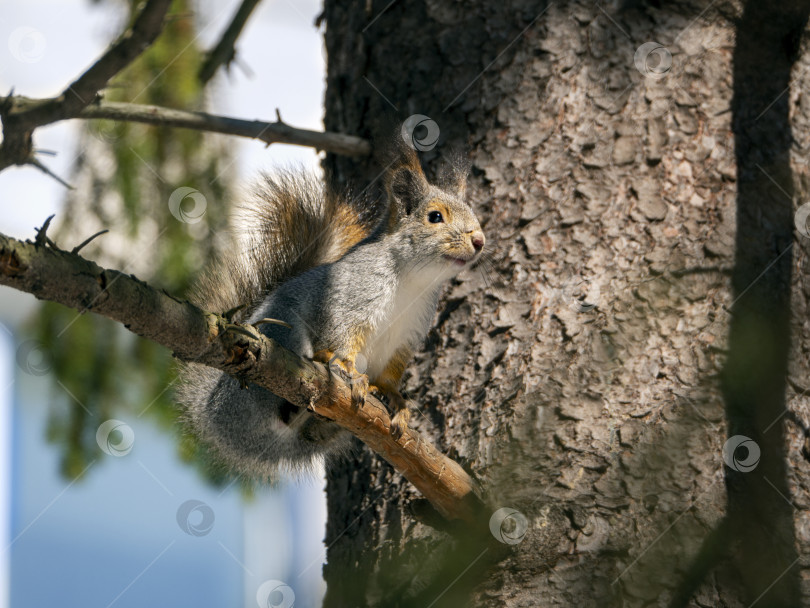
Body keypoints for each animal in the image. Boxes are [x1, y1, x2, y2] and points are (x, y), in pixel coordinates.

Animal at [178, 140, 482, 478]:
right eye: (435, 217)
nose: (479, 241)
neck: (414, 281)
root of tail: (216, 417)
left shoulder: (407, 335)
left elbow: (392, 374)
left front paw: (397, 401)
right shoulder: (350, 300)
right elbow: (344, 335)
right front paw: (350, 371)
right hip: (279, 332)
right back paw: (318, 367)